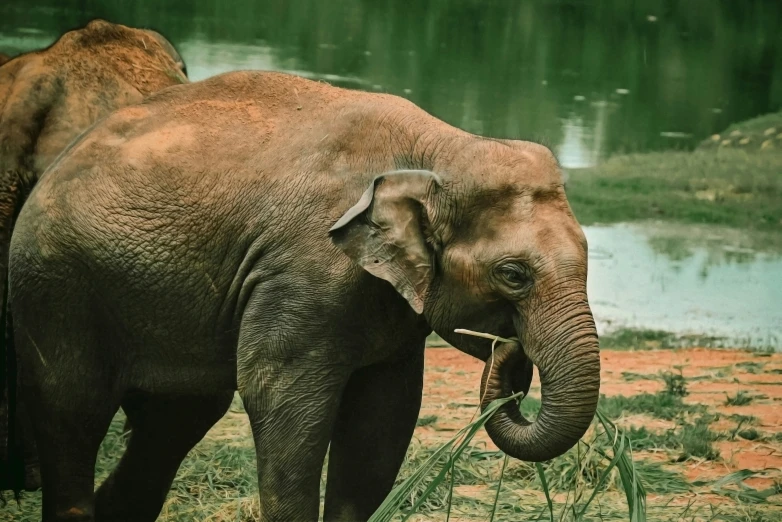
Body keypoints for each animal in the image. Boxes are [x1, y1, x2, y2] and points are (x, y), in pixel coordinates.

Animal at [9, 70, 604, 520]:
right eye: (513, 275)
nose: (511, 353)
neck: (440, 148)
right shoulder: (304, 273)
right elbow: (280, 397)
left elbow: (382, 417)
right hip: (58, 289)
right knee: (74, 413)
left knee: (175, 420)